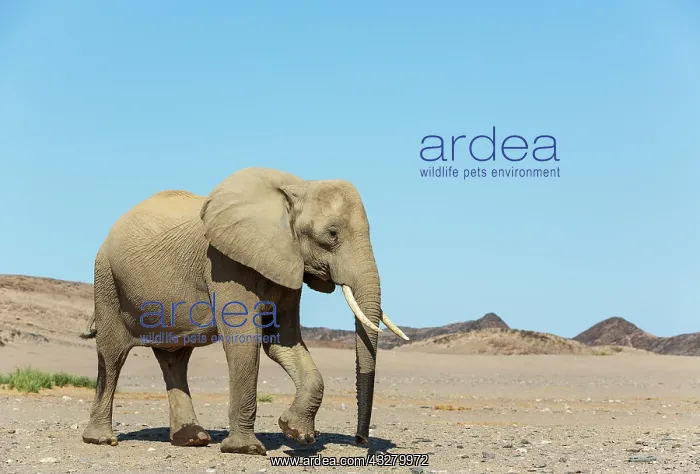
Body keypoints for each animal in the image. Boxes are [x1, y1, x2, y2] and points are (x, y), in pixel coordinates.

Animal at [78, 167, 408, 455]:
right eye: (332, 234)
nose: (361, 440)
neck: (296, 188)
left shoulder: (287, 263)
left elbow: (281, 342)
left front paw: (295, 432)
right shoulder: (225, 263)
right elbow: (244, 340)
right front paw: (246, 449)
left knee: (175, 359)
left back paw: (193, 440)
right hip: (107, 280)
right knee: (113, 354)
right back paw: (101, 440)